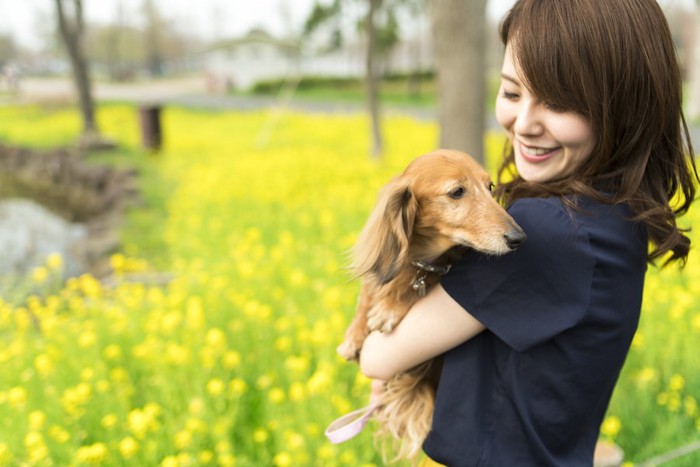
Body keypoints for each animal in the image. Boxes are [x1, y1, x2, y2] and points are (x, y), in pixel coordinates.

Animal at [338, 149, 524, 460]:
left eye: (490, 187)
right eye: (457, 192)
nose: (518, 238)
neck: (420, 258)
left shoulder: (441, 269)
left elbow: (414, 283)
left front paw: (389, 307)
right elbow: (369, 293)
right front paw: (354, 335)